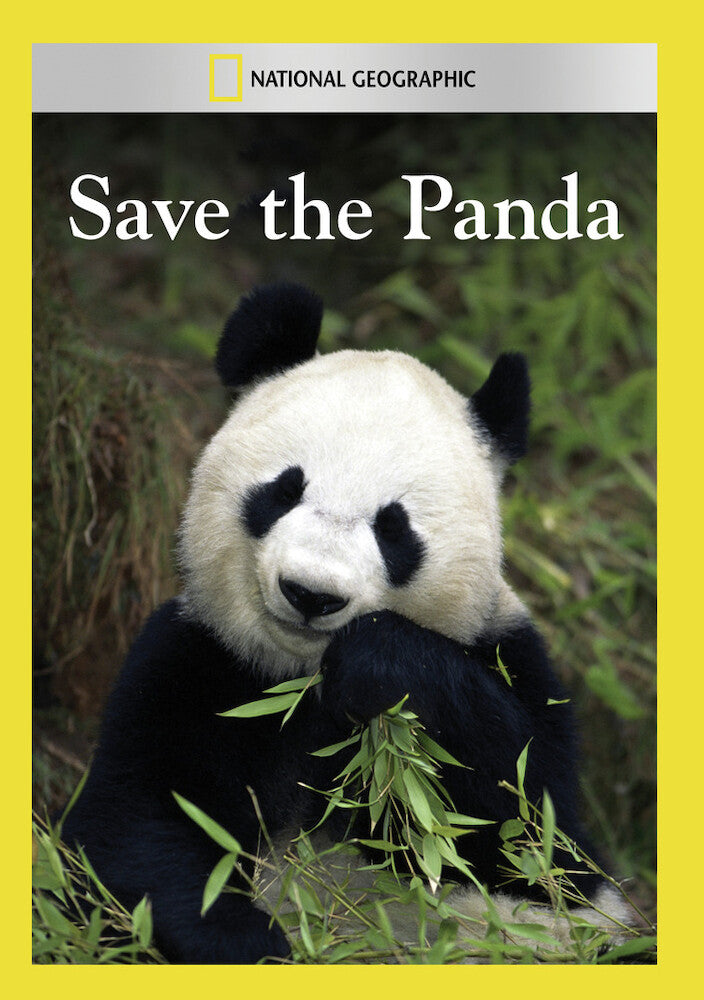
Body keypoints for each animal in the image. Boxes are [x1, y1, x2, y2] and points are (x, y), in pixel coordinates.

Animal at [61, 283, 629, 964]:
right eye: (284, 491)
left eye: (394, 526)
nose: (311, 592)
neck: (299, 684)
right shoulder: (197, 660)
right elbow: (137, 827)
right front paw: (259, 946)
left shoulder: (510, 655)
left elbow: (535, 832)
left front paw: (381, 665)